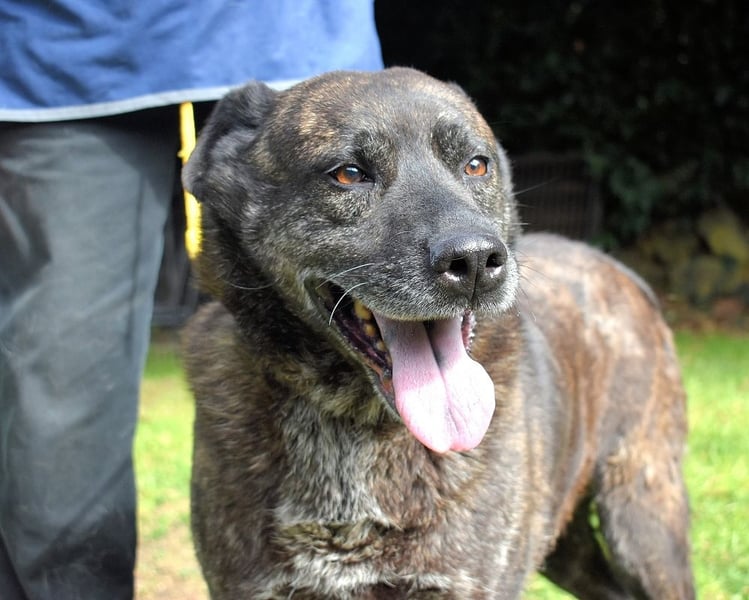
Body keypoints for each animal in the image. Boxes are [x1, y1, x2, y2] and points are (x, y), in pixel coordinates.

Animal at [181, 67, 694, 599]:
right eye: (349, 174)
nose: (475, 261)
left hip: (642, 519)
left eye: (476, 165)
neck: (353, 423)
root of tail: (623, 271)